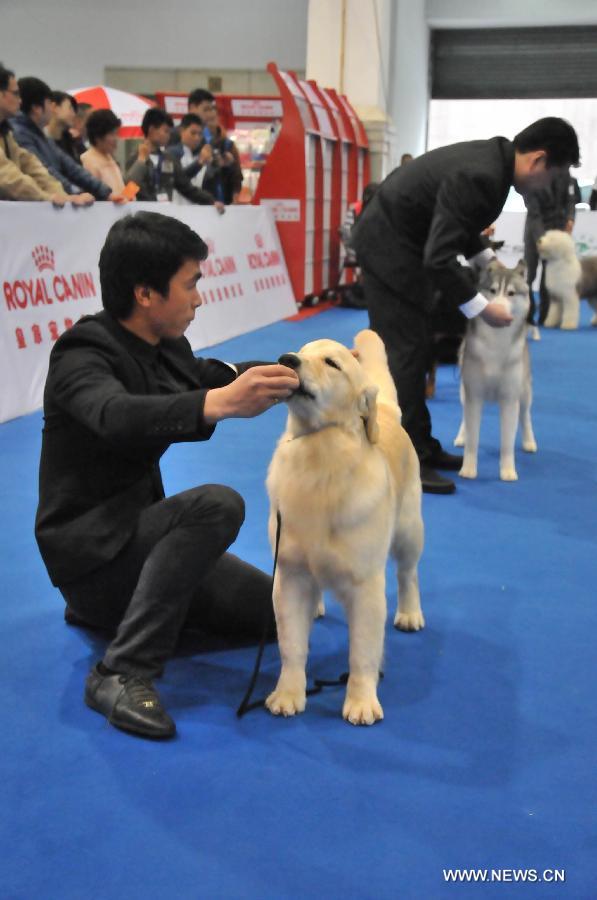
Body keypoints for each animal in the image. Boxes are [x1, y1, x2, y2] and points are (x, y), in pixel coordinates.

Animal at [266, 328, 424, 724]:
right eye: (302, 352)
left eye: (331, 363)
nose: (287, 359)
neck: (320, 452)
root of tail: (386, 412)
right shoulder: (289, 575)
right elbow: (291, 645)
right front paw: (288, 694)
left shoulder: (365, 585)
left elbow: (362, 654)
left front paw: (361, 701)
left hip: (409, 530)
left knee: (408, 574)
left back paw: (410, 614)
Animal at [454, 260, 536, 482]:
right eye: (492, 291)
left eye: (511, 293)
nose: (497, 308)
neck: (496, 345)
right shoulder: (474, 394)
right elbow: (473, 436)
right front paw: (468, 468)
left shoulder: (509, 398)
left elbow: (507, 442)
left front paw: (508, 471)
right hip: (464, 392)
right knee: (464, 416)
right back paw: (461, 436)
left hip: (524, 392)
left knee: (525, 416)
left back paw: (529, 441)